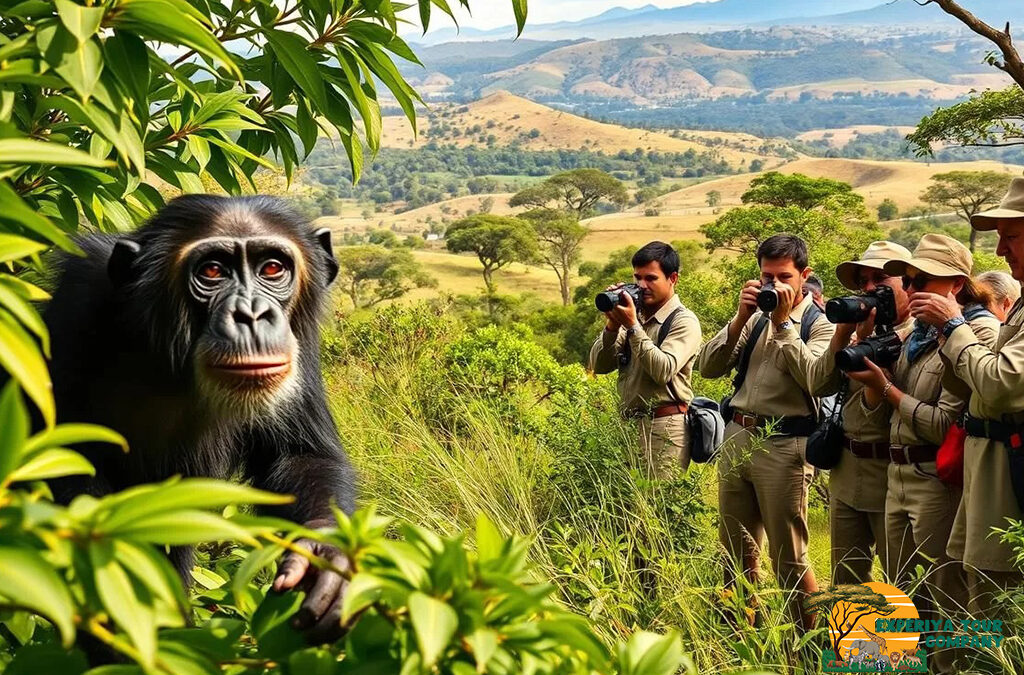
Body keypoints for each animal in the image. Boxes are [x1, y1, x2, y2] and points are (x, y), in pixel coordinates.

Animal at [40, 194, 356, 642]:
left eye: (272, 269)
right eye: (212, 271)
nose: (251, 314)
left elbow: (300, 455)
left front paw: (325, 558)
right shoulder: (77, 304)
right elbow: (58, 456)